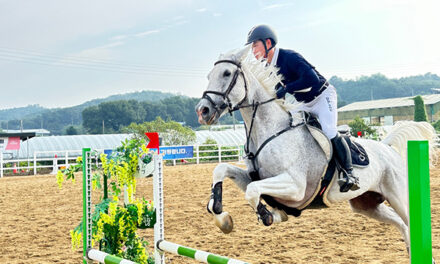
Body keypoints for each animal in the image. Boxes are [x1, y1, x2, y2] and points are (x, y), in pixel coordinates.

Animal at [196, 46, 436, 262]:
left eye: (227, 74)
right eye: (208, 76)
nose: (203, 111)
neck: (270, 130)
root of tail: (387, 147)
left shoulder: (296, 186)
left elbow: (253, 191)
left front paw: (269, 215)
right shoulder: (255, 177)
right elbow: (222, 170)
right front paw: (222, 216)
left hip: (398, 196)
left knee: (411, 221)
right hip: (366, 204)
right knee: (401, 223)